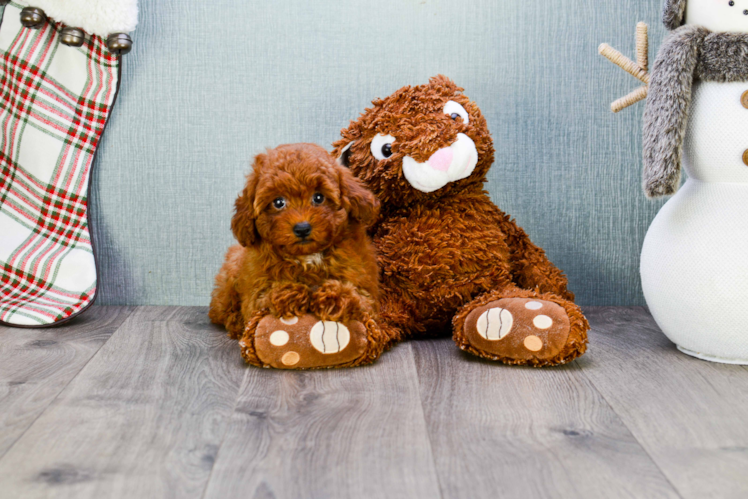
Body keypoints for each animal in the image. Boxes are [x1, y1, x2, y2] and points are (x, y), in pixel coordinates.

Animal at [210, 143, 386, 370]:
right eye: (278, 202)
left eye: (318, 197)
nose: (302, 228)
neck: (308, 257)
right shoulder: (254, 291)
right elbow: (263, 297)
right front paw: (290, 294)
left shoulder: (365, 289)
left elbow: (357, 296)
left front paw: (333, 297)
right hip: (230, 273)